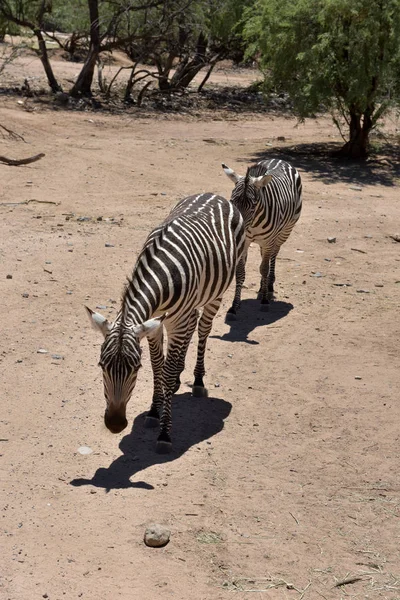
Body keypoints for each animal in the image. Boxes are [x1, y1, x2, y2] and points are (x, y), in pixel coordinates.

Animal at [86, 195, 245, 452]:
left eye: (135, 368)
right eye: (102, 365)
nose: (115, 424)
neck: (163, 273)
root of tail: (214, 194)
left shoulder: (173, 322)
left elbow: (167, 372)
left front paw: (164, 433)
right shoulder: (155, 324)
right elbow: (158, 366)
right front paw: (153, 410)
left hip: (215, 294)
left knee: (203, 330)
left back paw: (198, 380)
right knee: (192, 326)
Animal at [220, 158, 302, 318]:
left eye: (253, 205)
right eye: (232, 201)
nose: (236, 230)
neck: (252, 224)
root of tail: (279, 160)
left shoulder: (268, 240)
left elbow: (264, 268)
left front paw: (264, 301)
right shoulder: (244, 242)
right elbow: (240, 272)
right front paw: (234, 306)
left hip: (284, 232)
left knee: (273, 255)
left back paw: (268, 287)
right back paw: (261, 287)